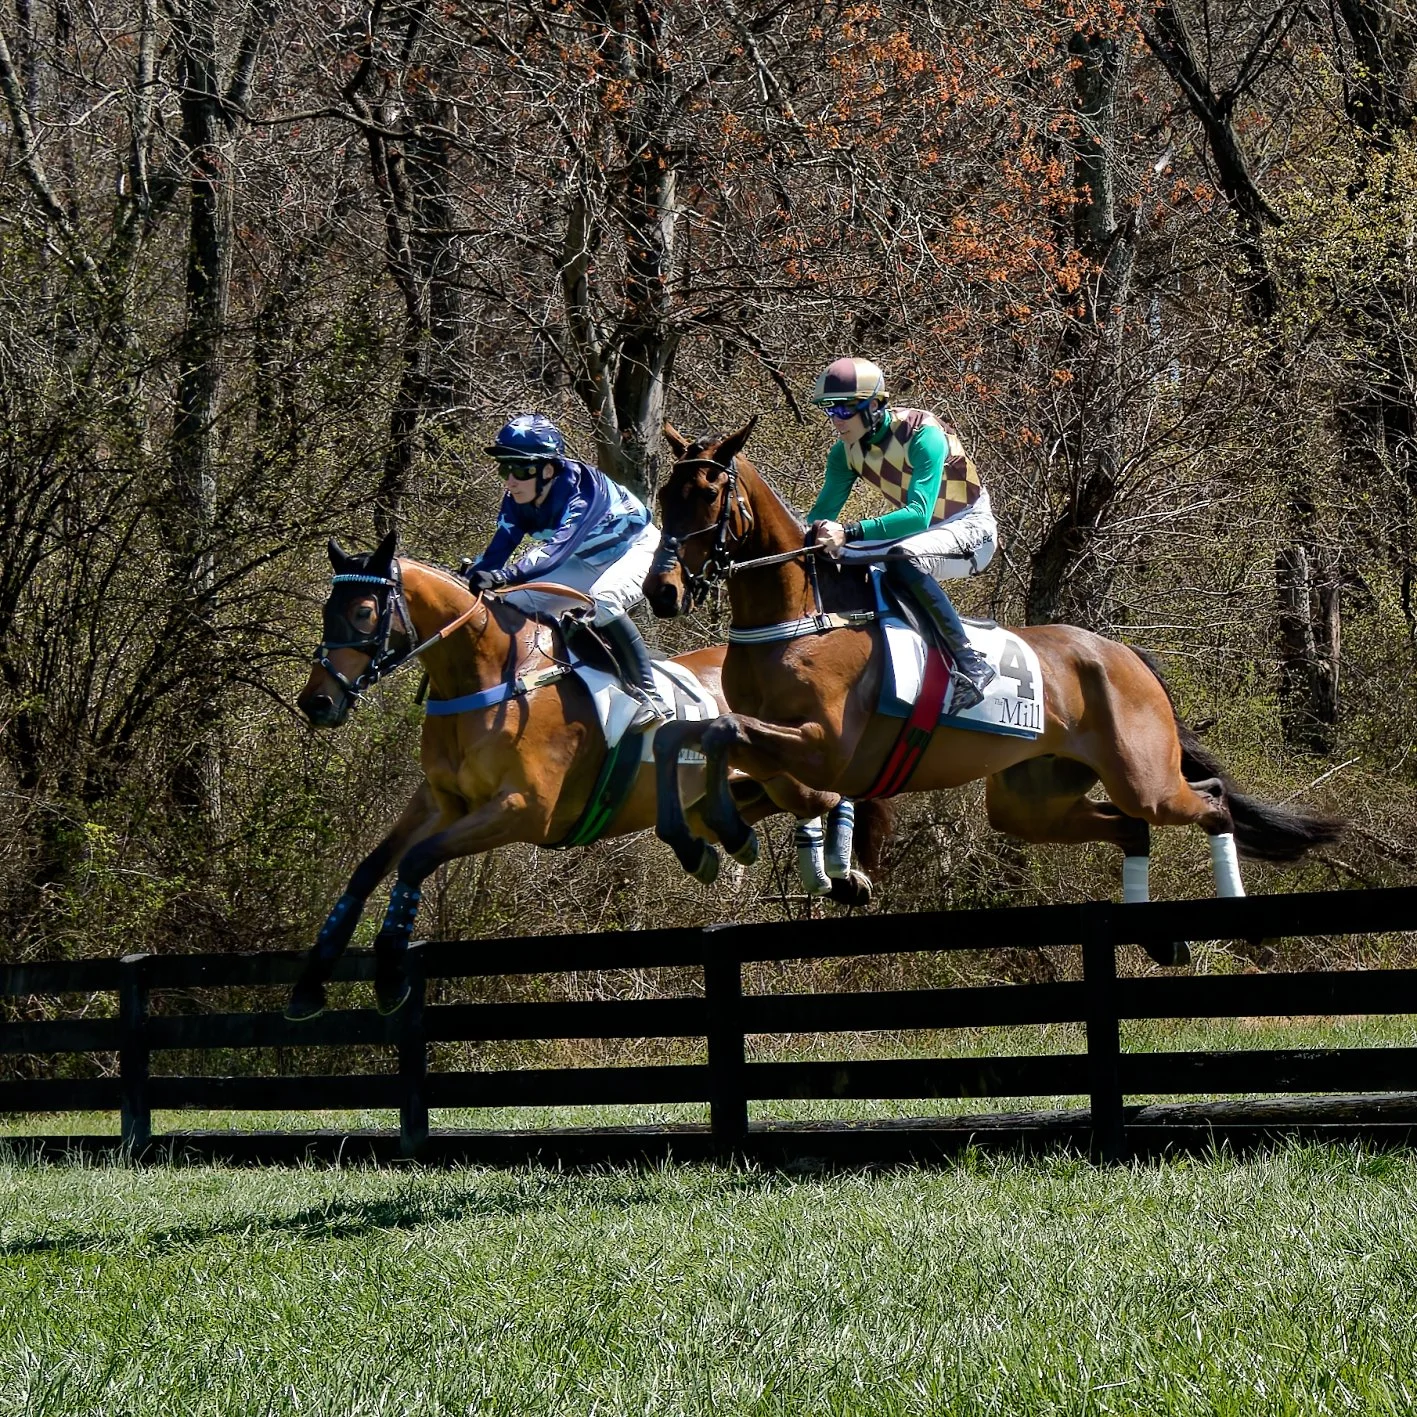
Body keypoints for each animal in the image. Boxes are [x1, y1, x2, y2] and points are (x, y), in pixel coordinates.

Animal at [287, 530, 890, 1020]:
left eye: (365, 612)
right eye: (328, 609)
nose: (317, 702)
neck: (487, 676)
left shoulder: (522, 810)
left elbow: (415, 861)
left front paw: (391, 976)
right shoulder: (441, 803)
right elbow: (370, 868)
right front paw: (310, 982)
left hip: (788, 764)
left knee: (829, 792)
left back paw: (839, 870)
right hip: (740, 787)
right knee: (752, 809)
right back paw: (761, 855)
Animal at [641, 419, 1342, 963]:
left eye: (709, 495)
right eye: (662, 494)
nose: (662, 592)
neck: (799, 614)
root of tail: (1124, 656)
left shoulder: (823, 744)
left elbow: (730, 734)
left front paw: (827, 862)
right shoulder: (790, 756)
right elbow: (704, 753)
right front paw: (742, 846)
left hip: (1144, 778)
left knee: (1212, 802)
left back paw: (1240, 926)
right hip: (1031, 801)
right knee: (1130, 830)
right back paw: (1157, 940)